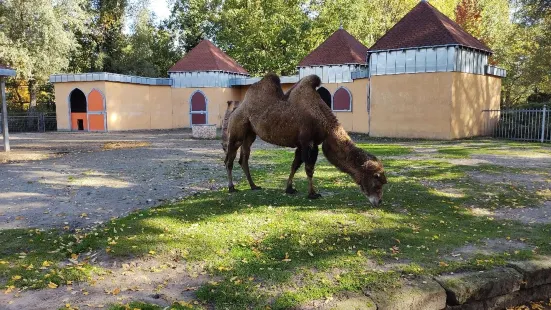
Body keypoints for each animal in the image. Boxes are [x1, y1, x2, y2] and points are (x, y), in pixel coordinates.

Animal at [222, 73, 386, 206]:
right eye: (377, 182)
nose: (378, 202)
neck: (324, 122)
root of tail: (236, 109)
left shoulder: (302, 144)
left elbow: (295, 165)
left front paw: (289, 188)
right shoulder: (308, 142)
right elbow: (309, 168)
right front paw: (312, 193)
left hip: (250, 134)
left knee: (243, 158)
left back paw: (253, 186)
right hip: (237, 130)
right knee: (230, 158)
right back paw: (231, 187)